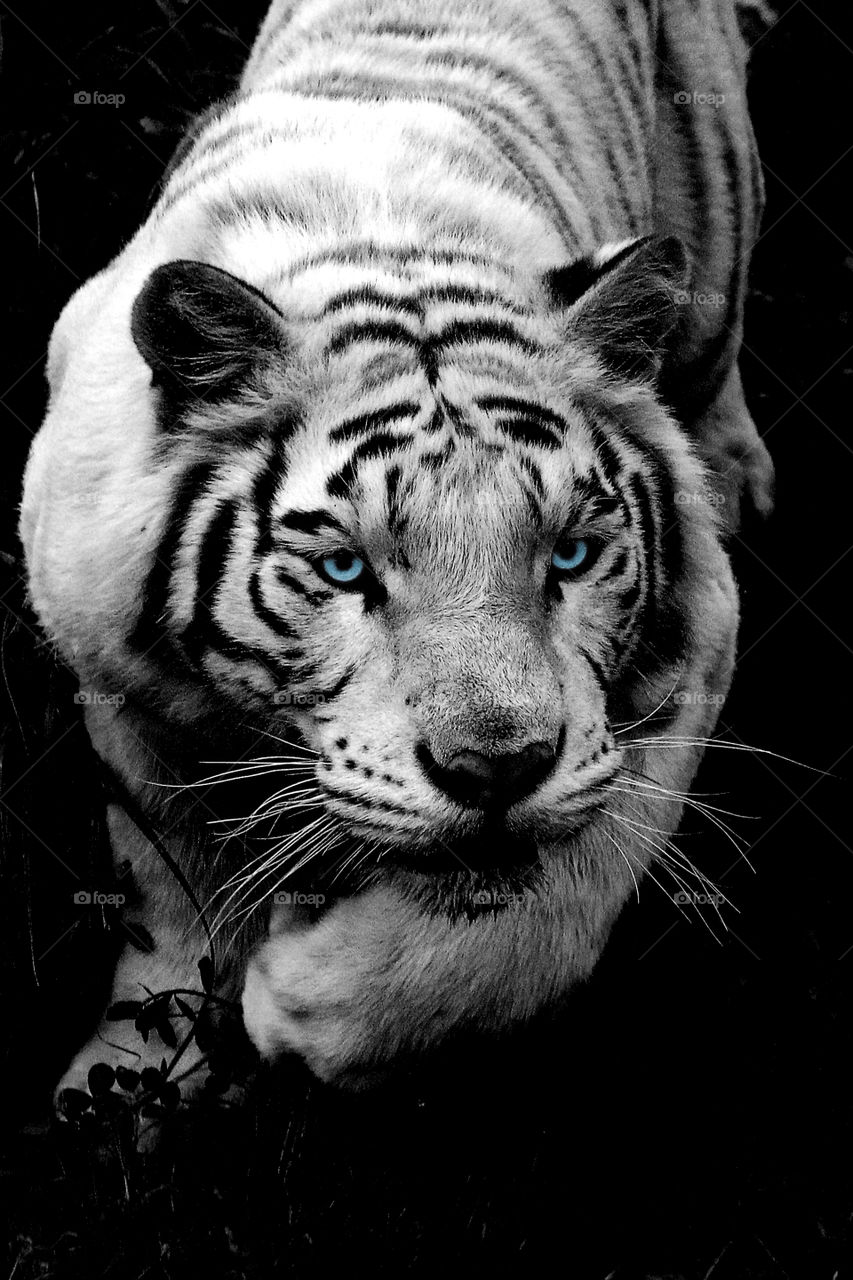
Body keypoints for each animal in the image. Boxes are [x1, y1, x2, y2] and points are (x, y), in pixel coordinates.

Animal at [20, 0, 774, 1099]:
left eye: (569, 555)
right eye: (345, 568)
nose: (495, 769)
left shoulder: (696, 639)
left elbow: (556, 894)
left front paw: (303, 998)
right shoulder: (117, 677)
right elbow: (165, 884)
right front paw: (134, 1079)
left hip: (712, 212)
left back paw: (733, 471)